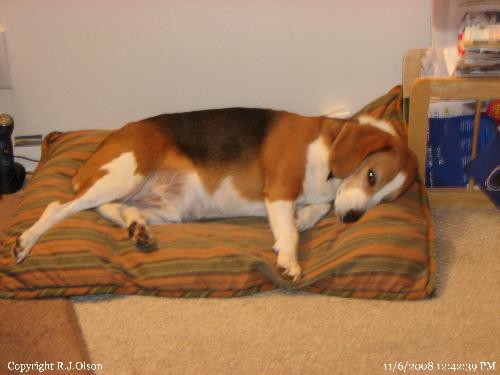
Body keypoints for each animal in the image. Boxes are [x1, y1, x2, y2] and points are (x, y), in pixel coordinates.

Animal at [12, 108, 418, 282]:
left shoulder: (316, 197)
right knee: (58, 207)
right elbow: (288, 229)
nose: (351, 219)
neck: (329, 147)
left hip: (168, 207)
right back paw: (26, 241)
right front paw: (290, 256)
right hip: (123, 174)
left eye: (385, 200)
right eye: (370, 176)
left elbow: (314, 210)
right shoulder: (280, 189)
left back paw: (138, 227)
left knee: (114, 210)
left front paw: (304, 219)